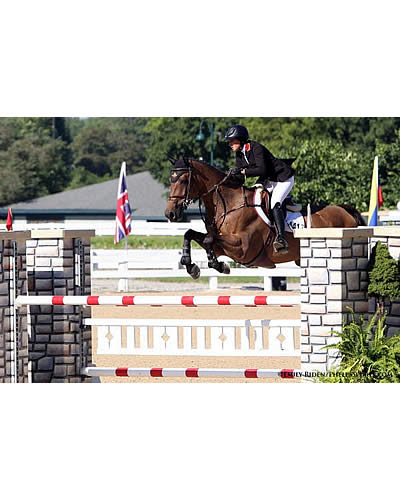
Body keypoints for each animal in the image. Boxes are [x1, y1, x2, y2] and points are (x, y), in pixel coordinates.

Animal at [164, 156, 364, 280]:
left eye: (183, 180)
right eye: (170, 180)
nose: (170, 214)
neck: (229, 204)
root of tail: (345, 211)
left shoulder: (243, 249)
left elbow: (208, 239)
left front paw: (216, 265)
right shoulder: (223, 247)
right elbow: (191, 234)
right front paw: (191, 265)